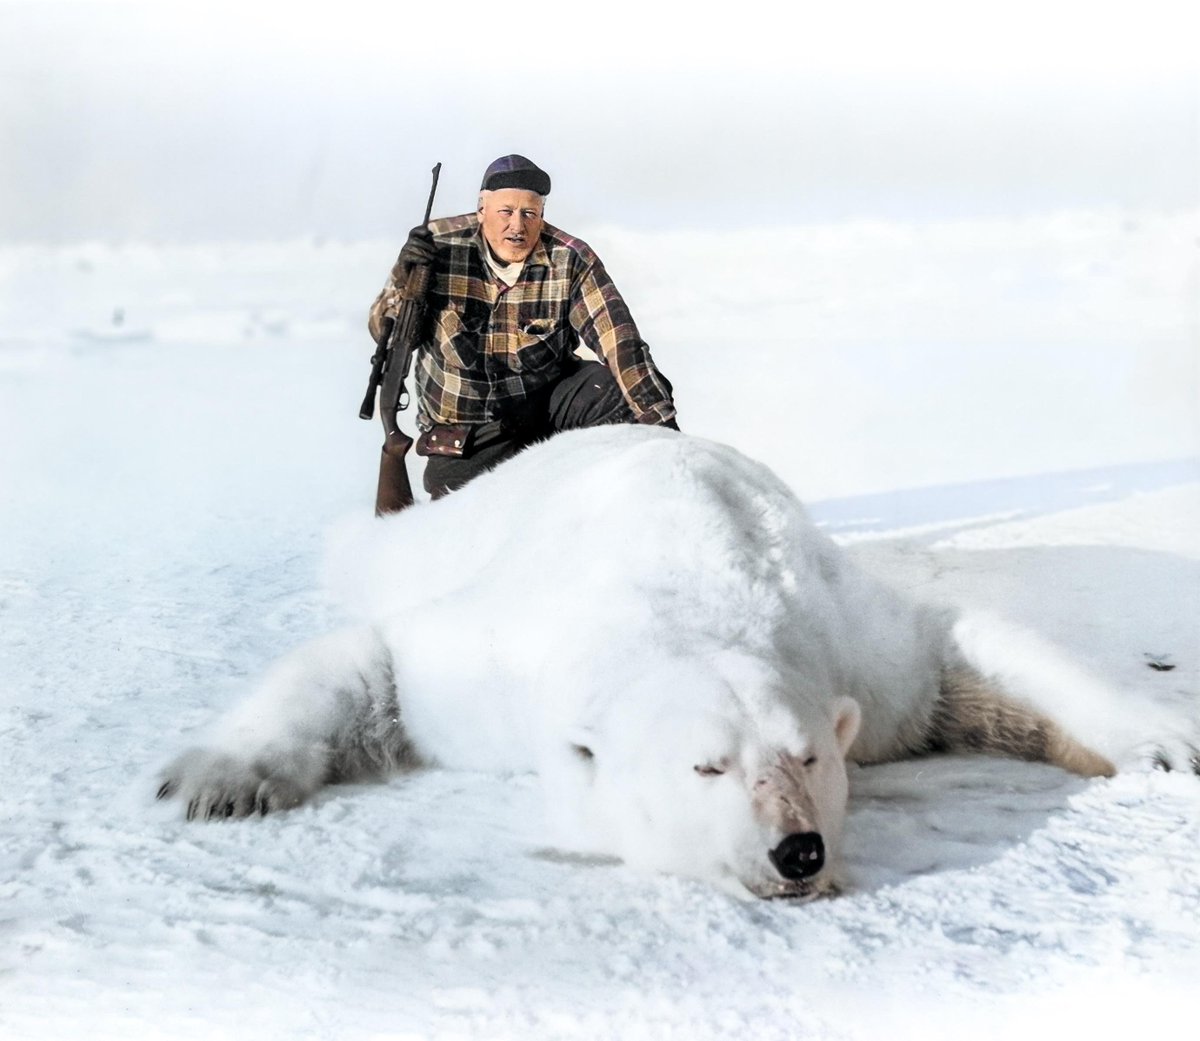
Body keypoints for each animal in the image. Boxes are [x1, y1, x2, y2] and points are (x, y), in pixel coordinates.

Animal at [156, 426, 1199, 900]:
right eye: (707, 766)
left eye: (809, 754)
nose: (796, 848)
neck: (691, 584)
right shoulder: (493, 660)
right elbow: (380, 661)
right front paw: (216, 782)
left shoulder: (850, 639)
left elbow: (962, 646)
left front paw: (1164, 743)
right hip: (431, 536)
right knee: (370, 557)